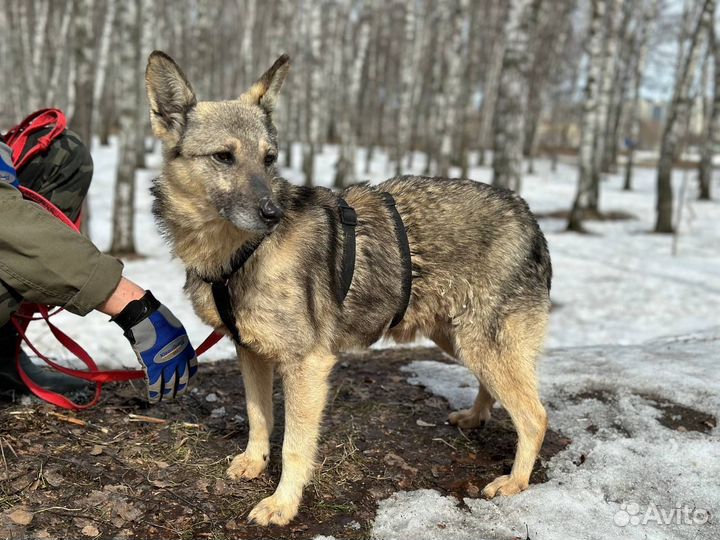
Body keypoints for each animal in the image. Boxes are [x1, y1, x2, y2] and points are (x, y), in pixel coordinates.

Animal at [145, 51, 552, 528]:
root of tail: (528, 214)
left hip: (481, 344)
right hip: (460, 341)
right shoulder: (251, 352)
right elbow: (258, 416)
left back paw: (515, 482)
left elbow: (294, 446)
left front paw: (282, 504)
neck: (240, 252)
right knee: (500, 392)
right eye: (224, 157)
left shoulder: (306, 365)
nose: (273, 213)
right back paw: (475, 417)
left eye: (269, 159)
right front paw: (254, 462)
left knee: (535, 416)